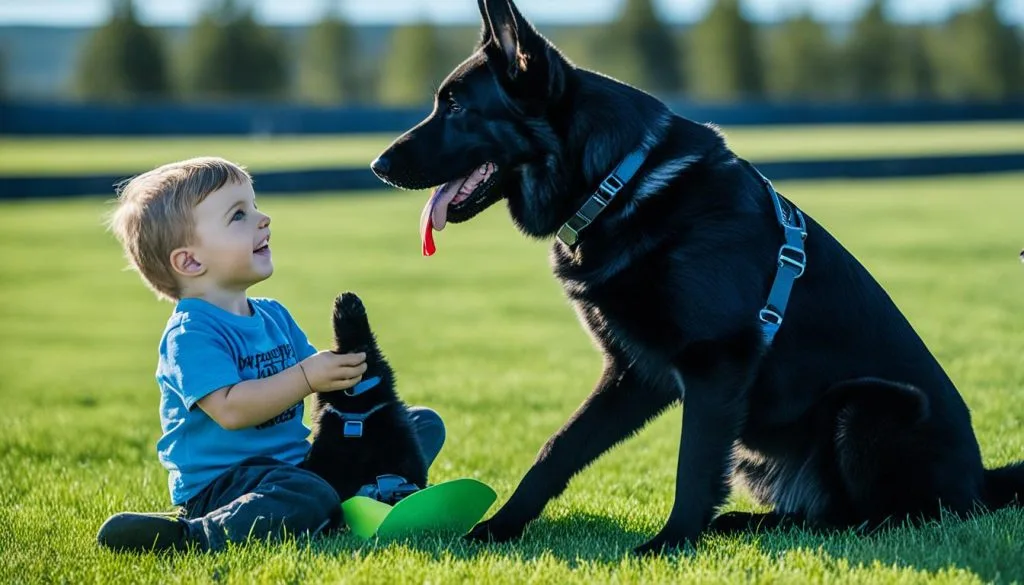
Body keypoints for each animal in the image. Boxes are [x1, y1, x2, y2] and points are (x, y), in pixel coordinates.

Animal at [366, 0, 1015, 553]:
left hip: (869, 408)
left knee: (879, 519)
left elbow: (693, 464)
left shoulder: (714, 367)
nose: (377, 165)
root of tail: (982, 482)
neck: (619, 183)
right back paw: (749, 525)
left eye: (456, 107)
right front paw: (498, 528)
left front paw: (669, 544)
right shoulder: (635, 375)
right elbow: (558, 449)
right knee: (819, 513)